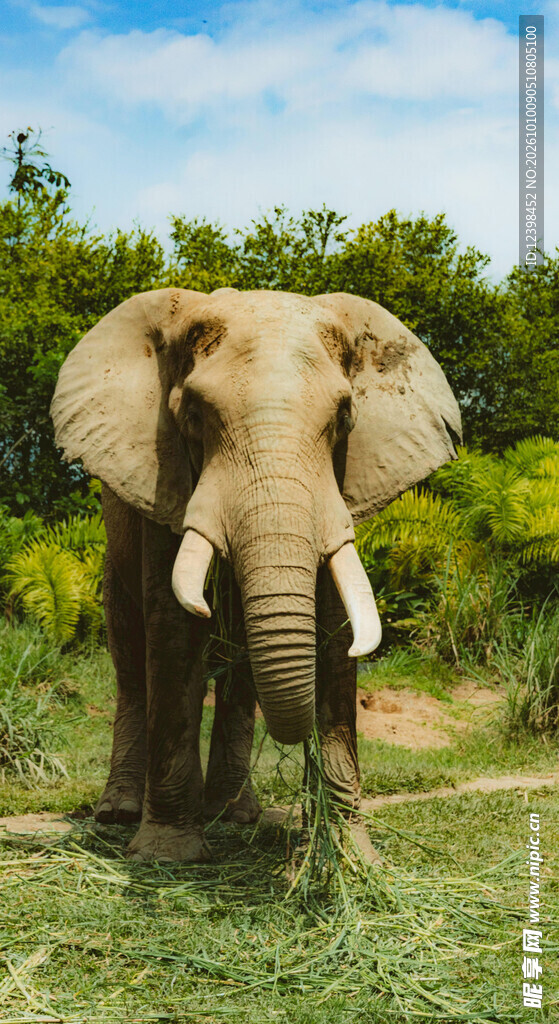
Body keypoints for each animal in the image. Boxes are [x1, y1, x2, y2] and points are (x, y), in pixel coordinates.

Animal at [50, 287, 461, 862]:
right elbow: (173, 629)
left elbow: (336, 632)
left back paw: (235, 813)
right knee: (129, 653)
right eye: (194, 414)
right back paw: (120, 813)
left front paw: (349, 857)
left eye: (344, 416)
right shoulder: (163, 478)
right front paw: (168, 856)